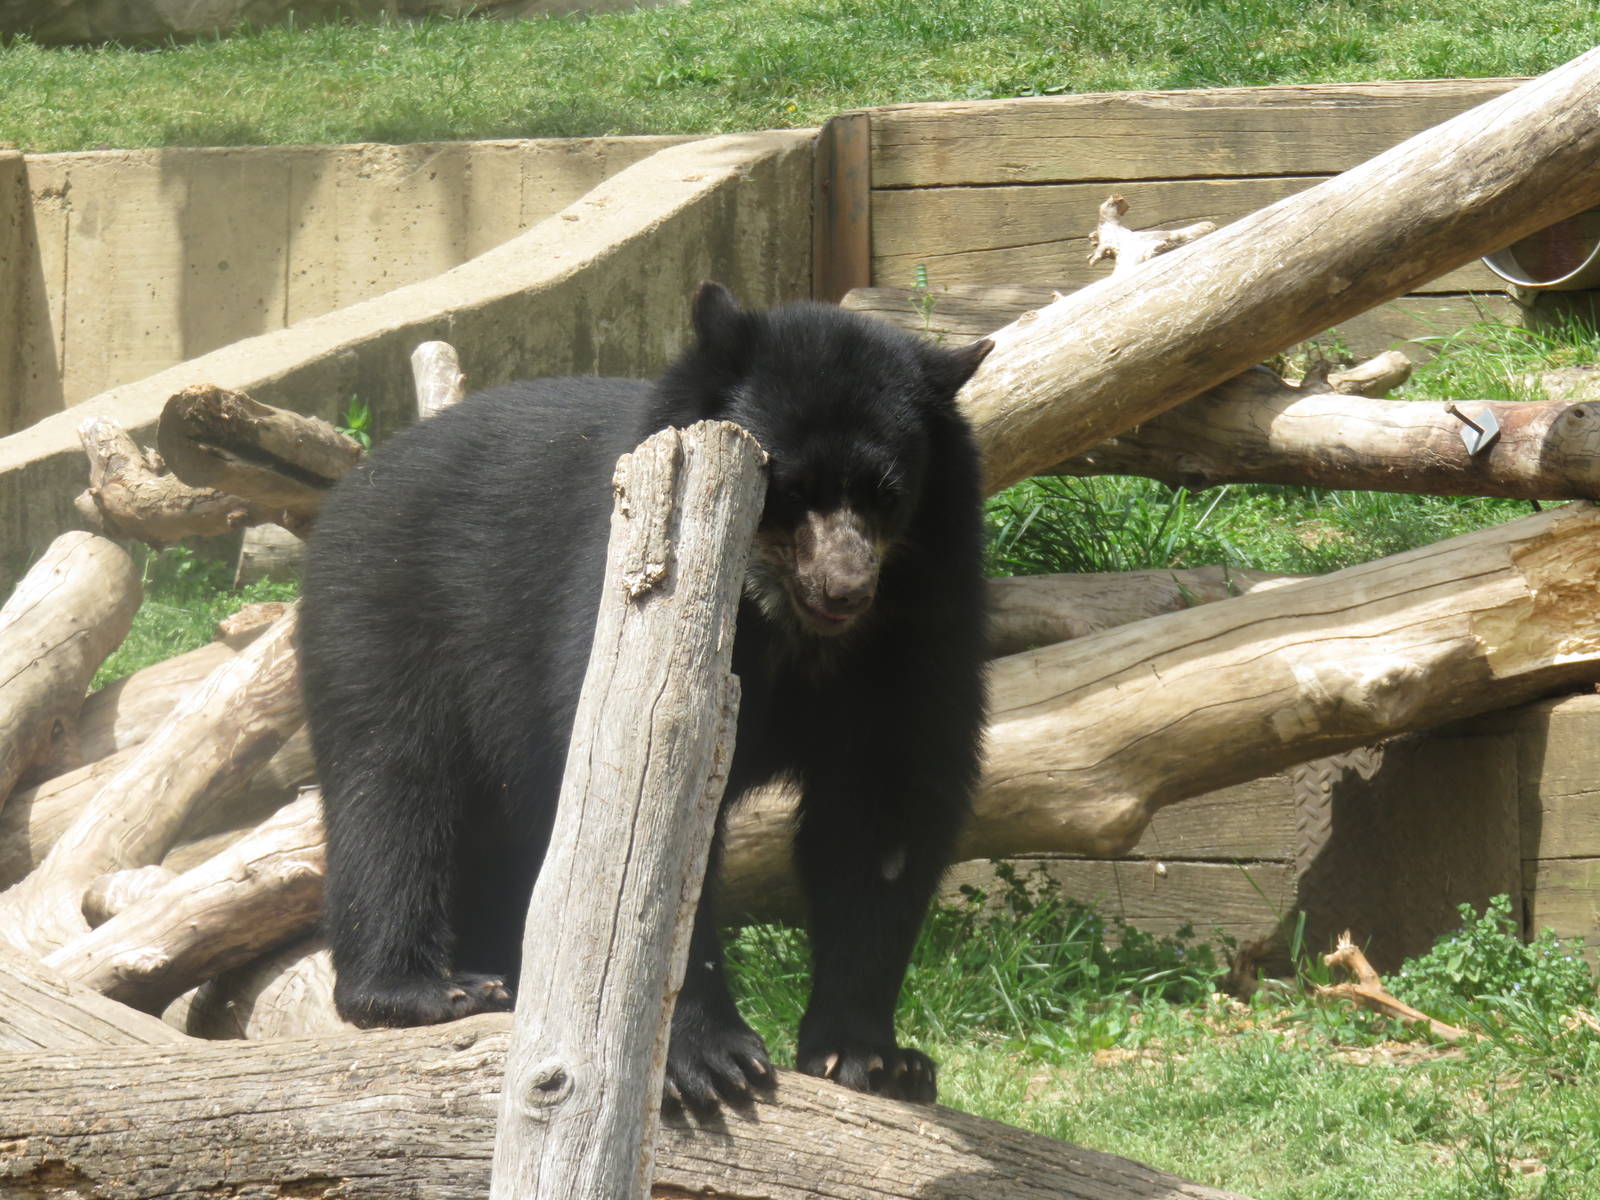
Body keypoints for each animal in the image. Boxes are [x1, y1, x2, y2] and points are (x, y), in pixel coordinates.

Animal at [298, 282, 992, 1111]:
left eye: (889, 495)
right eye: (789, 489)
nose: (844, 589)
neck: (787, 626)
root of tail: (355, 484)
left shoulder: (917, 629)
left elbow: (886, 817)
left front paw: (875, 1060)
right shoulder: (618, 609)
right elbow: (646, 829)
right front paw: (706, 1058)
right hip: (382, 623)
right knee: (394, 793)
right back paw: (430, 989)